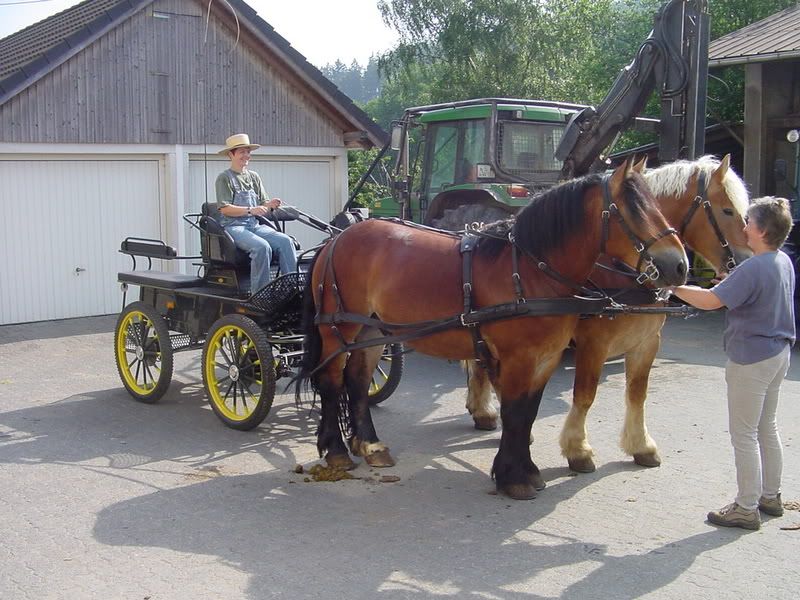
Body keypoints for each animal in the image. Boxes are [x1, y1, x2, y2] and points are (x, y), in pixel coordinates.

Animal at [296, 157, 688, 500]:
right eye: (632, 208)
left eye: (656, 203)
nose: (680, 266)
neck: (527, 271)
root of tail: (336, 239)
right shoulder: (519, 359)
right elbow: (514, 413)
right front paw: (513, 478)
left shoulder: (546, 359)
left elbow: (528, 414)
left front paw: (526, 470)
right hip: (339, 329)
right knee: (331, 382)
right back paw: (336, 450)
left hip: (373, 331)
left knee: (358, 381)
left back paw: (370, 444)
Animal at [462, 155, 752, 474]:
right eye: (727, 210)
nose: (746, 260)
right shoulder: (594, 343)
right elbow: (585, 394)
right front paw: (578, 449)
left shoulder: (647, 341)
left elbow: (637, 393)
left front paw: (641, 445)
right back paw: (486, 410)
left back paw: (484, 410)